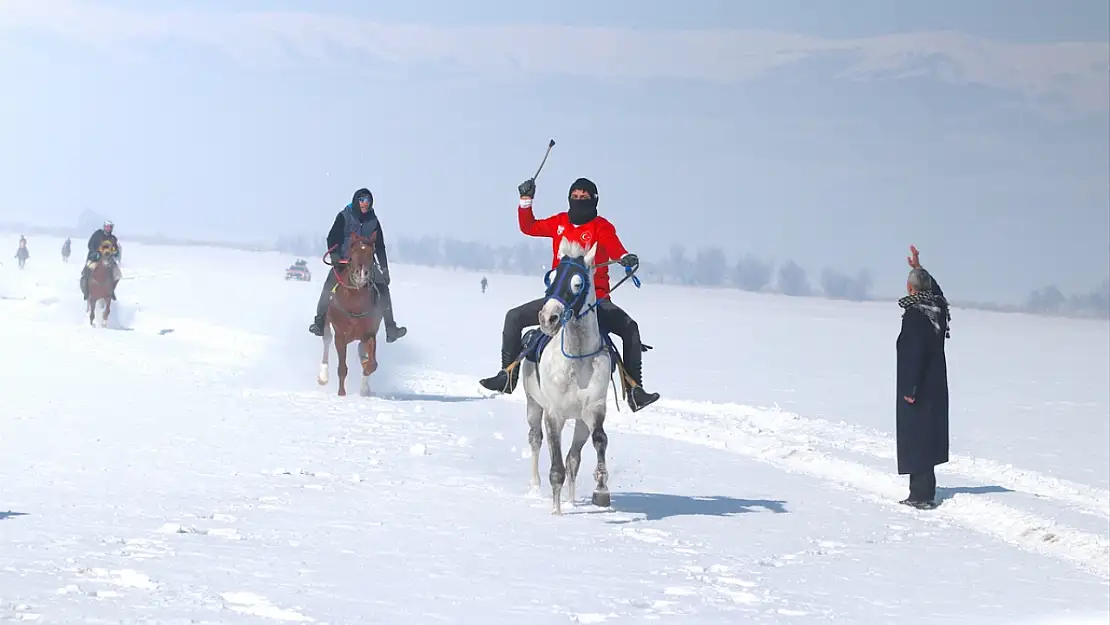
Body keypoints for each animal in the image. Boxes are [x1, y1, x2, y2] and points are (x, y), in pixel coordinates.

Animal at [317, 232, 386, 399]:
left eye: (371, 252)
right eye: (353, 250)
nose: (361, 274)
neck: (355, 304)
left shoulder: (369, 334)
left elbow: (372, 364)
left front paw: (366, 372)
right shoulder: (340, 336)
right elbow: (342, 367)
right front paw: (341, 393)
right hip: (327, 324)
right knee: (326, 341)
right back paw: (323, 377)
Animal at [519, 239, 617, 512]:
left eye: (577, 283)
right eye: (551, 277)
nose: (548, 318)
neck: (578, 359)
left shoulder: (593, 410)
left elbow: (599, 440)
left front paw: (601, 488)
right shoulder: (554, 414)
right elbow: (556, 463)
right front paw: (556, 511)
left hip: (580, 421)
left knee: (574, 458)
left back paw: (571, 500)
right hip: (533, 405)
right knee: (535, 439)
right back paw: (535, 487)